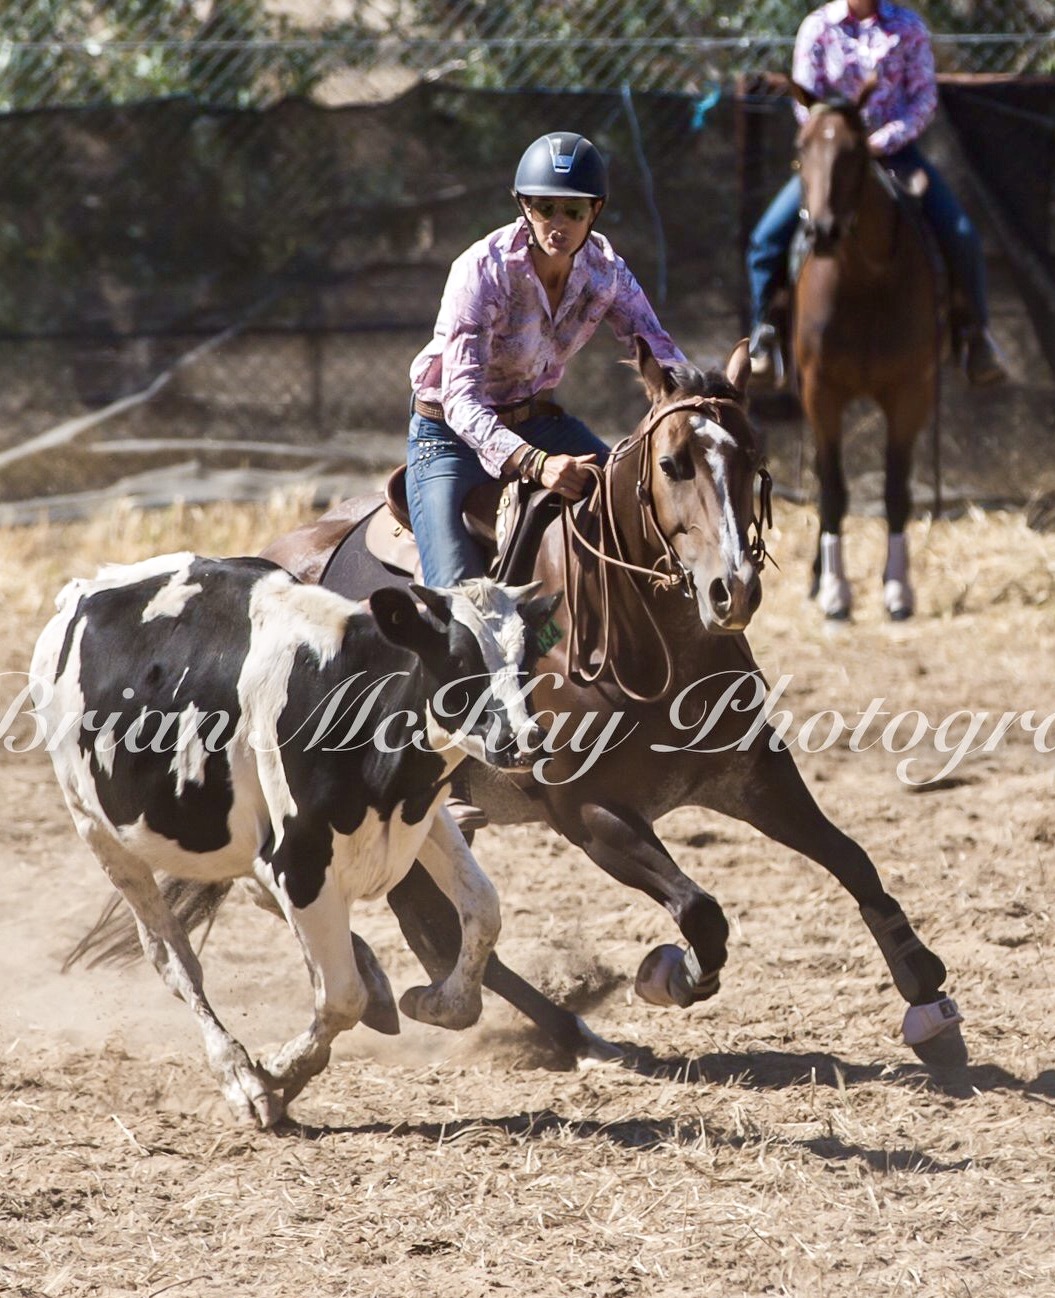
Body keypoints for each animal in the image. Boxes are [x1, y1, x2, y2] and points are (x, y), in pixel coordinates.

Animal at [30, 553, 558, 1128]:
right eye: (459, 656)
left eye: (529, 657)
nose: (524, 740)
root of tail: (81, 590)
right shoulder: (301, 859)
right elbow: (340, 996)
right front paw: (280, 1071)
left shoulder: (420, 816)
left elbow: (483, 910)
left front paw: (432, 1002)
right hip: (99, 830)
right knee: (174, 958)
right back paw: (239, 1077)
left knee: (251, 901)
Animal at [257, 336, 967, 1073]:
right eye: (672, 463)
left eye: (751, 459)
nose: (732, 590)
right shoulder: (589, 812)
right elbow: (700, 911)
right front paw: (668, 975)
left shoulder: (754, 775)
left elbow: (853, 862)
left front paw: (929, 1004)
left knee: (427, 922)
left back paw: (518, 1020)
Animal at [790, 78, 941, 620]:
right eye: (801, 148)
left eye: (856, 152)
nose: (821, 232)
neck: (865, 280)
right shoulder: (820, 392)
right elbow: (833, 491)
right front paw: (835, 590)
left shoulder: (910, 394)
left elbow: (896, 491)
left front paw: (897, 588)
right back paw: (817, 578)